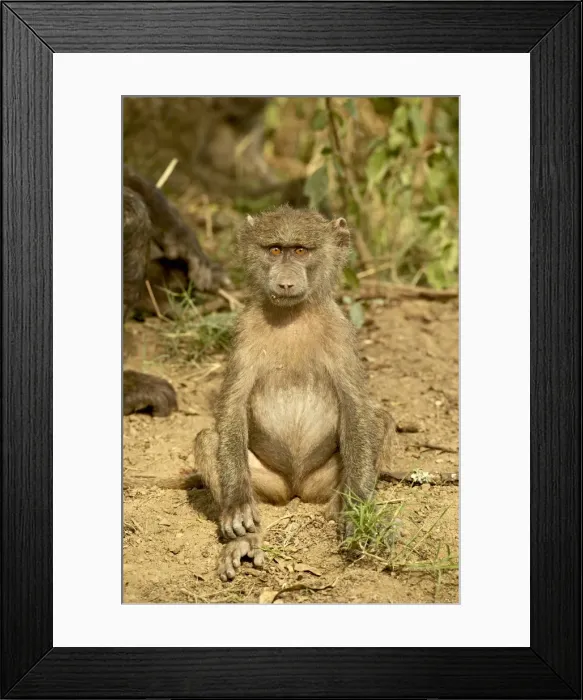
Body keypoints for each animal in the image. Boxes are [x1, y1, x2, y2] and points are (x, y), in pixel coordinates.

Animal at [192, 206, 396, 580]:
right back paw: (244, 540)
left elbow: (357, 408)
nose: (285, 282)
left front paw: (357, 509)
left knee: (380, 421)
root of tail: (296, 490)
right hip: (269, 485)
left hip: (322, 481)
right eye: (275, 250)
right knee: (208, 440)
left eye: (300, 251)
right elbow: (232, 407)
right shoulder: (244, 332)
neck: (292, 316)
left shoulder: (341, 332)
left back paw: (340, 509)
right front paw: (238, 508)